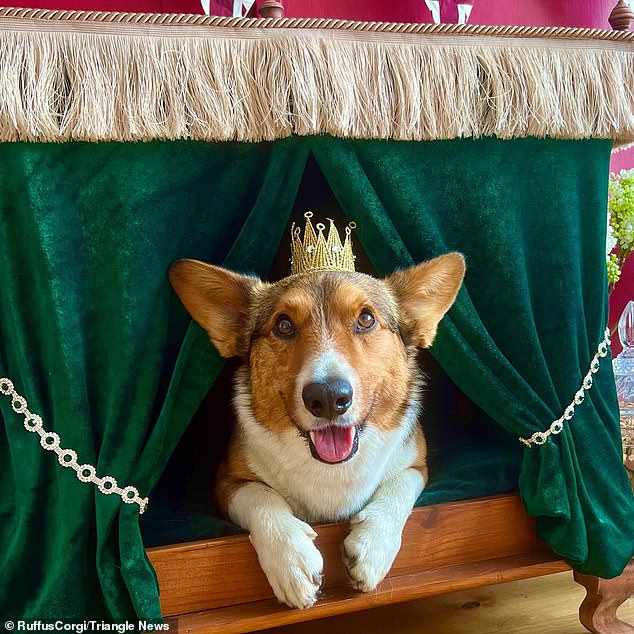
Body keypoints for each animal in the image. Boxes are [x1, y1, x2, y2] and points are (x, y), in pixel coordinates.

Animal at [168, 243, 464, 608]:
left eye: (366, 319)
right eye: (283, 325)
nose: (327, 396)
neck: (330, 470)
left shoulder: (416, 465)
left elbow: (398, 488)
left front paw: (372, 548)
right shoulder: (227, 480)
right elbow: (261, 496)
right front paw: (291, 558)